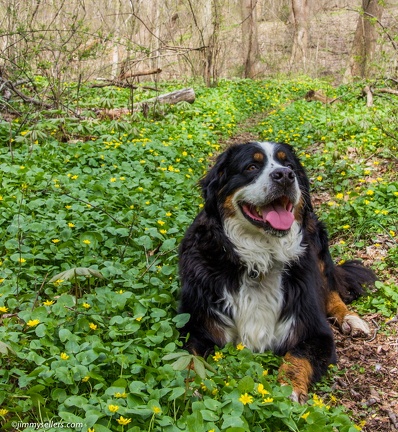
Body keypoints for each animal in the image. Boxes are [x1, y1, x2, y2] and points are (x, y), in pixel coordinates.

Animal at [178, 141, 376, 402]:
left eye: (289, 165)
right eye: (251, 167)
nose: (285, 175)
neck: (260, 261)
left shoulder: (315, 332)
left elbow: (298, 357)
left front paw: (288, 390)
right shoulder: (196, 326)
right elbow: (189, 360)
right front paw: (190, 390)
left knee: (331, 290)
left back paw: (352, 320)